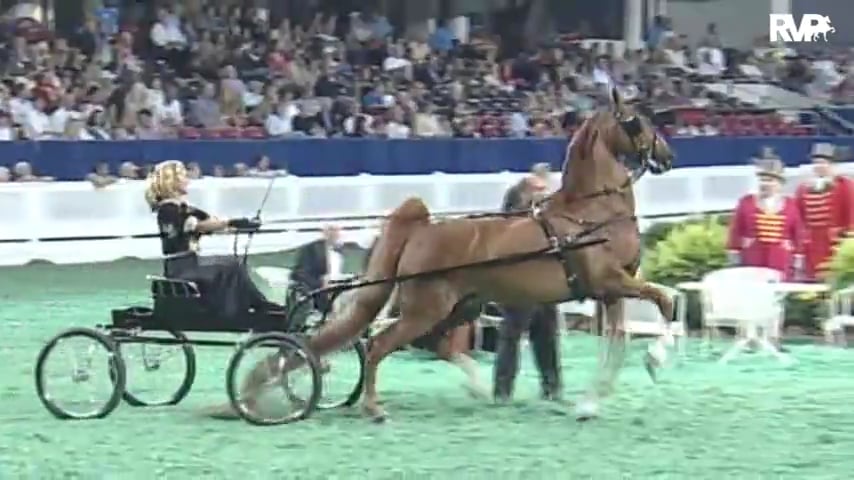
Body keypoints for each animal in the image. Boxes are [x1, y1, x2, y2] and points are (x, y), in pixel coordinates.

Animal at [228, 88, 676, 422]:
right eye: (636, 120)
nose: (667, 156)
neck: (589, 214)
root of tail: (422, 228)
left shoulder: (610, 290)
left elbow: (618, 343)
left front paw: (590, 402)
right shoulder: (609, 281)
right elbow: (665, 301)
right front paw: (655, 361)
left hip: (461, 307)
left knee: (435, 345)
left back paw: (475, 386)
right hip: (426, 308)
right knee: (379, 345)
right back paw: (375, 408)